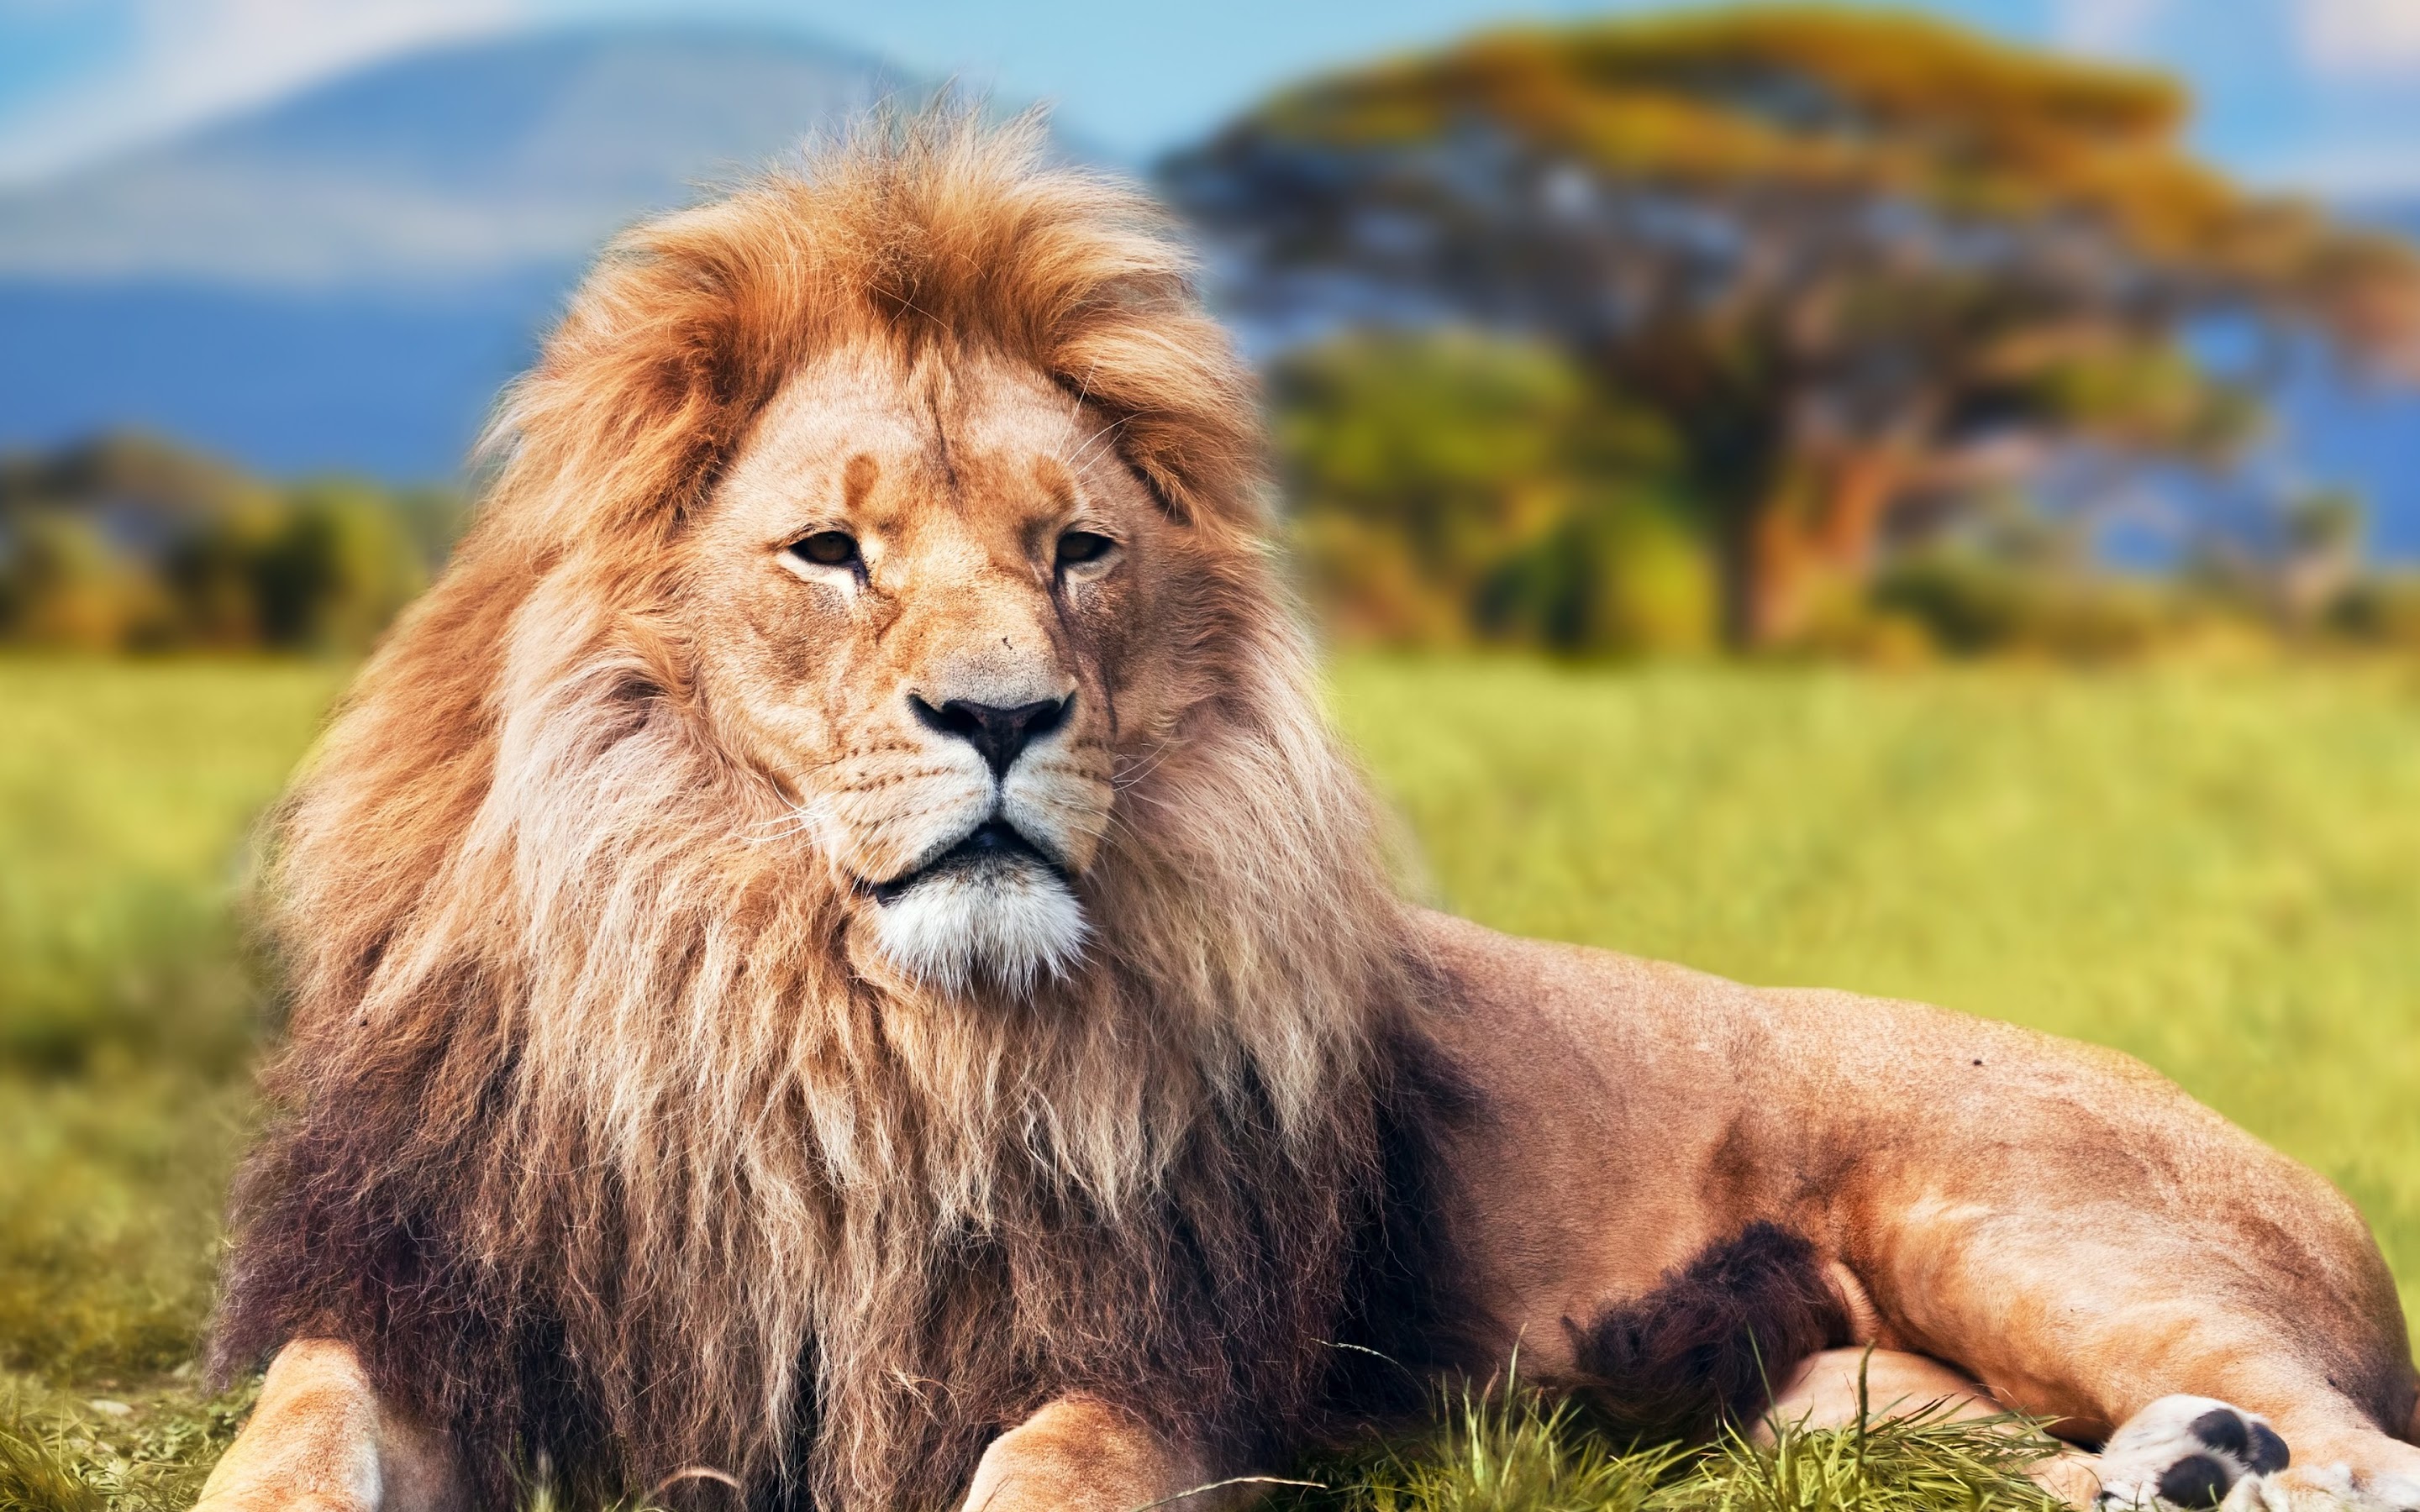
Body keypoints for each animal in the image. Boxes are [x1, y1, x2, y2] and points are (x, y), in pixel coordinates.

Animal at [193, 117, 2420, 1512]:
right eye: (830, 550)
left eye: (1076, 549)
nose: (1002, 714)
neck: (817, 1025)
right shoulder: (418, 1301)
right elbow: (287, 1446)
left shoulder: (1155, 1361)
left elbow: (1040, 1472)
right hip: (1826, 1404)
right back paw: (2177, 1473)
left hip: (2012, 1225)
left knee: (2366, 1445)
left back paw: (2230, 1463)